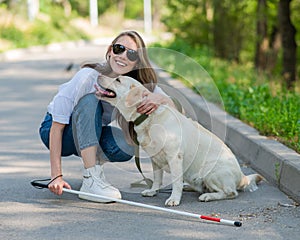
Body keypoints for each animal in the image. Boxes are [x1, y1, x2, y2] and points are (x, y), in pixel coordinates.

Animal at [96, 75, 262, 206]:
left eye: (118, 80)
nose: (98, 74)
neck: (148, 117)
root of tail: (242, 176)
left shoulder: (174, 157)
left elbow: (176, 181)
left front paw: (174, 199)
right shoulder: (154, 158)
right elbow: (157, 178)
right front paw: (153, 191)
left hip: (211, 172)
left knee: (231, 192)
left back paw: (208, 195)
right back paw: (191, 187)